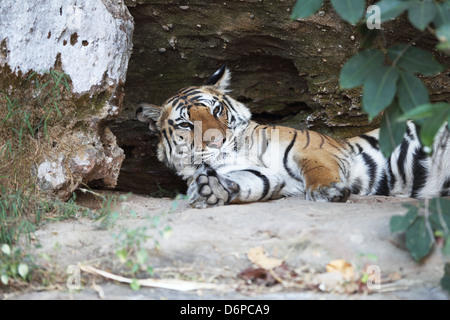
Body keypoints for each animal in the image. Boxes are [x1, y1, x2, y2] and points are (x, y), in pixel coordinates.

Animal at [137, 66, 450, 209]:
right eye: (186, 124)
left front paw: (326, 191)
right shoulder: (268, 178)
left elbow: (318, 169)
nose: (218, 141)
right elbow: (247, 181)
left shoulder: (314, 147)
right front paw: (210, 190)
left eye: (216, 110)